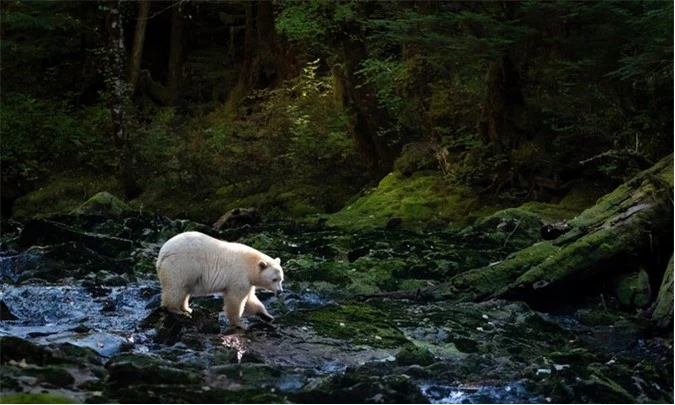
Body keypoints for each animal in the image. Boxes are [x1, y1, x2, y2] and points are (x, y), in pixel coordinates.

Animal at [156, 230, 286, 328]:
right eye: (274, 279)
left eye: (281, 279)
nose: (280, 291)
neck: (250, 264)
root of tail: (163, 253)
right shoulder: (239, 276)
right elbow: (235, 300)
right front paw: (240, 324)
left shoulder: (248, 281)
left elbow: (250, 300)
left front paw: (267, 316)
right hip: (182, 265)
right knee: (176, 287)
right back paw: (175, 309)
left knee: (184, 289)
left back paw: (187, 309)